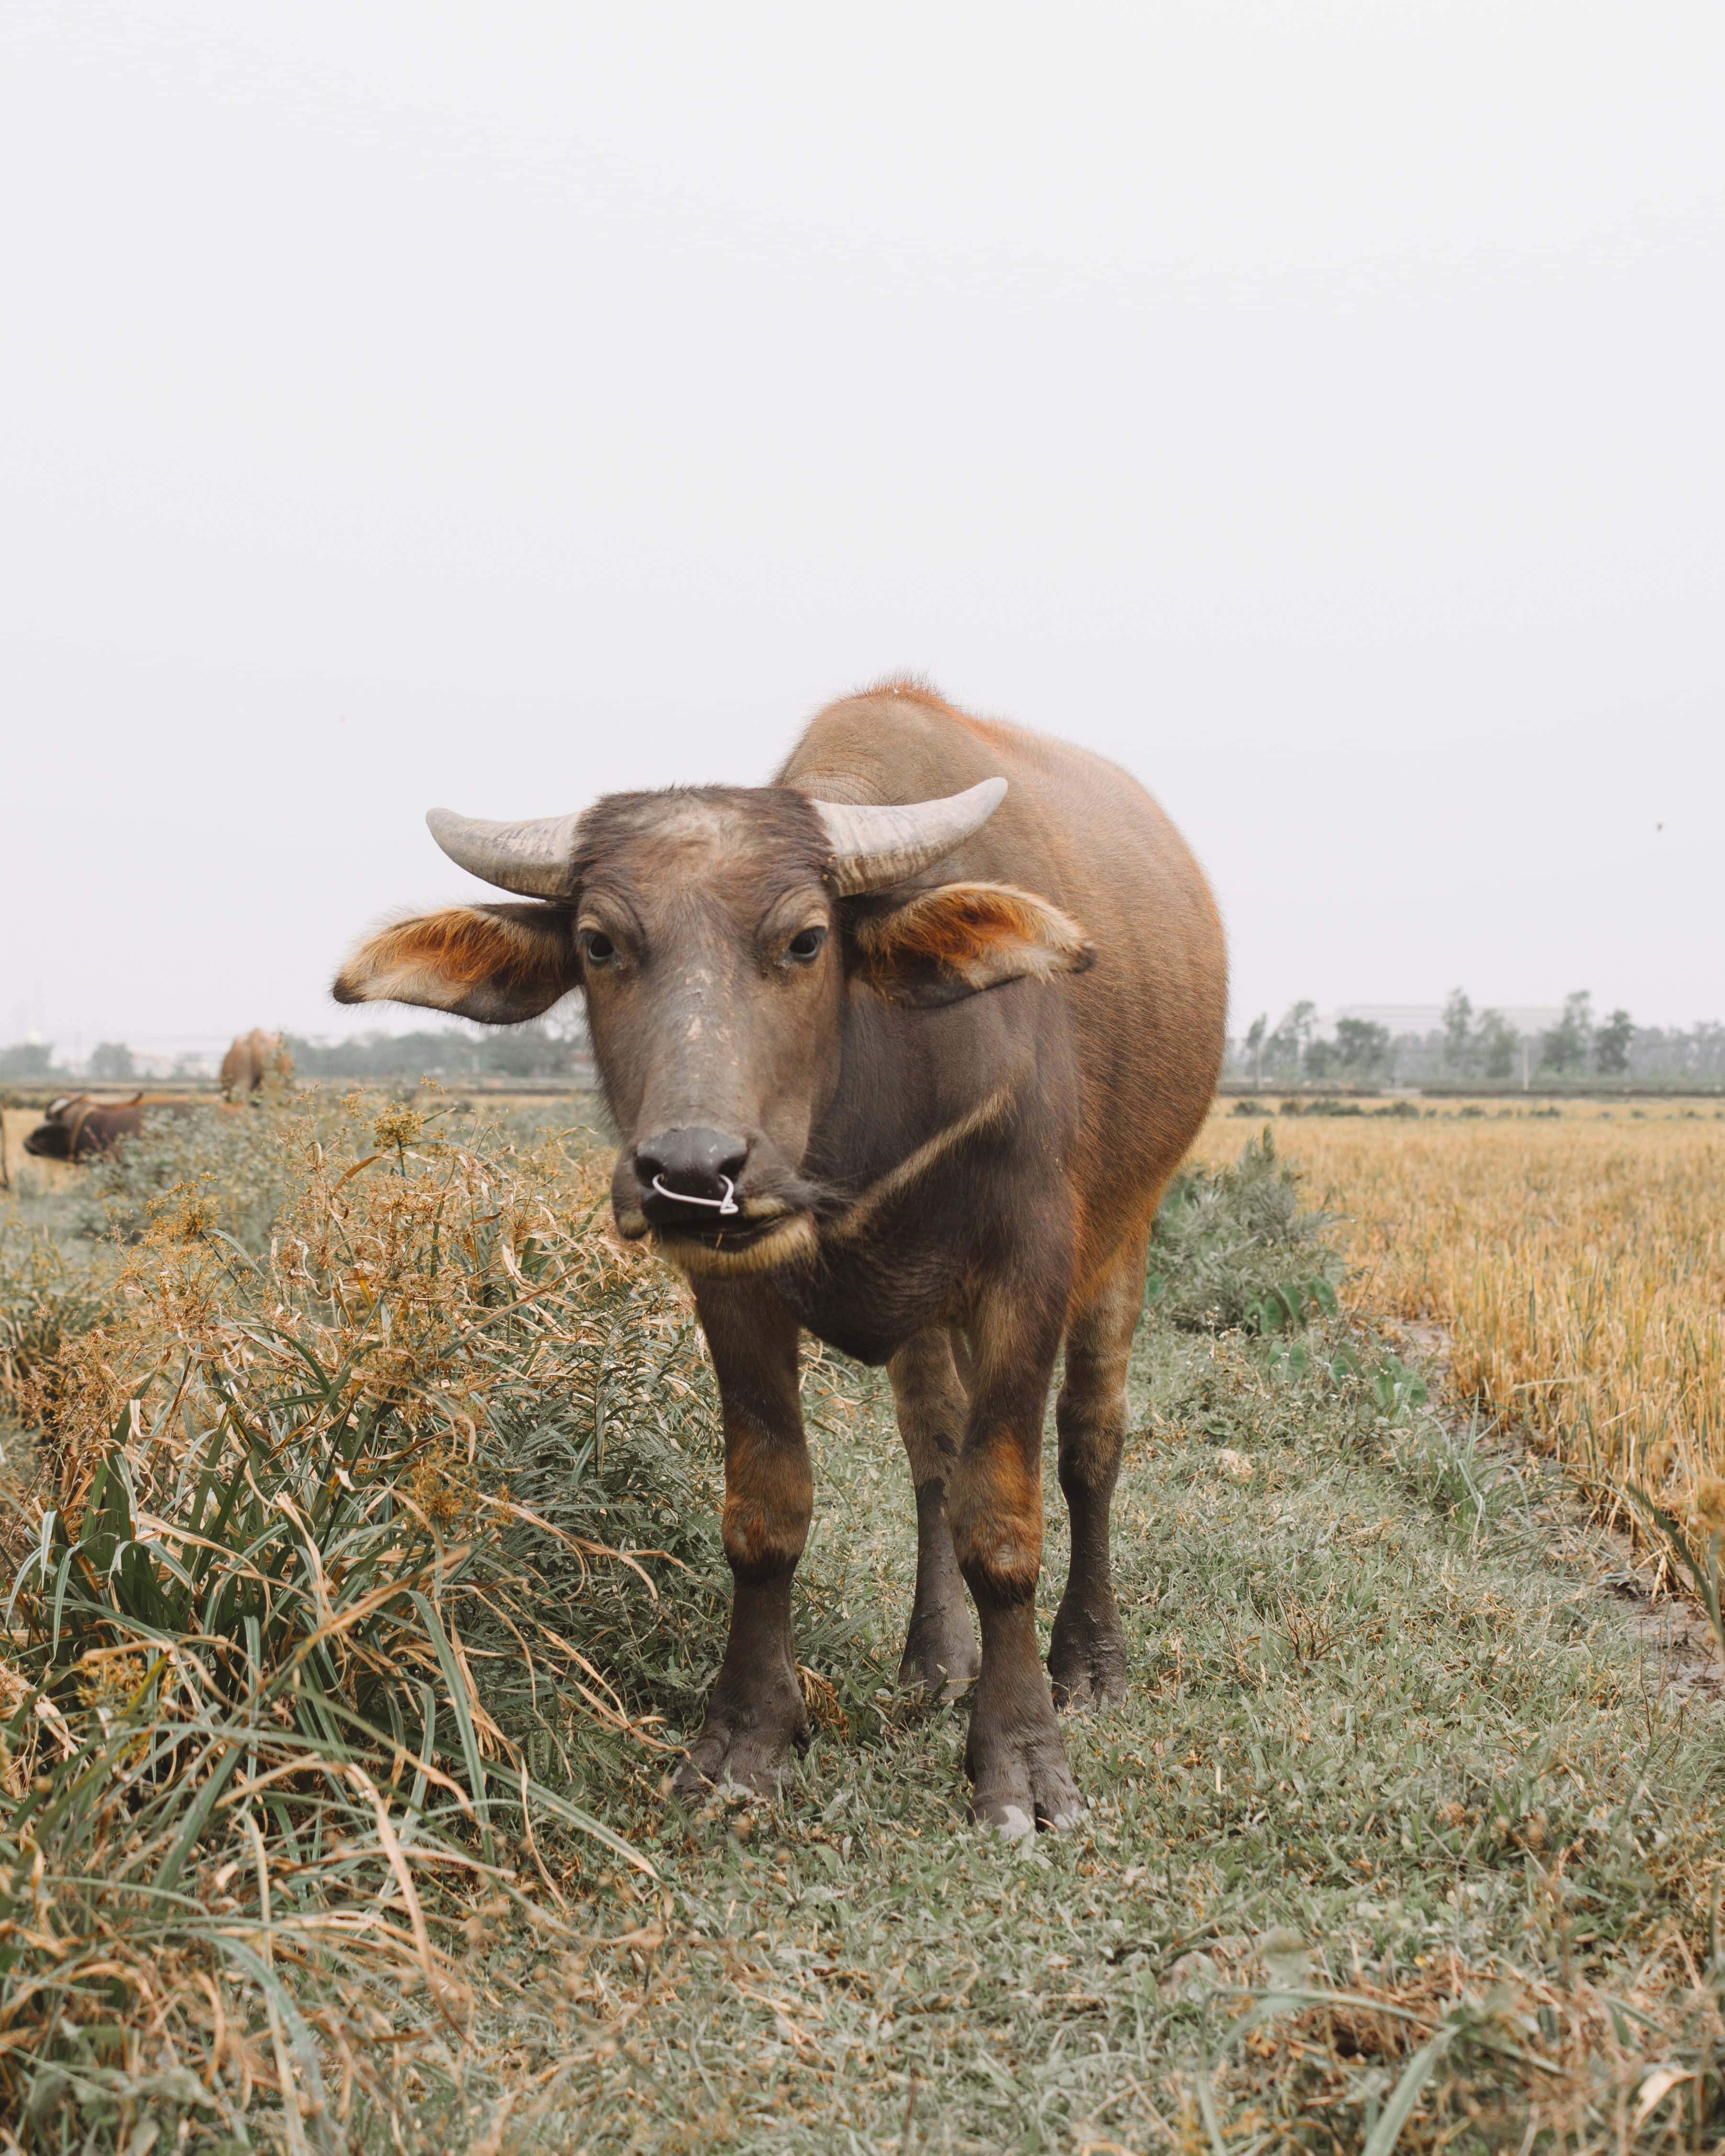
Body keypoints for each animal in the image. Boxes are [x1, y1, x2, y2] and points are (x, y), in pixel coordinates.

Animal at [334, 681, 1225, 1833]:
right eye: (598, 943)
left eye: (806, 940)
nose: (688, 1170)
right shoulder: (735, 1288)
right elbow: (769, 1511)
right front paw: (747, 1741)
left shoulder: (1029, 1269)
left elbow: (1004, 1518)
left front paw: (1023, 1764)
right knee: (931, 1450)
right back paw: (935, 1659)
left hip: (1129, 1231)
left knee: (1089, 1446)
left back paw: (1090, 1660)